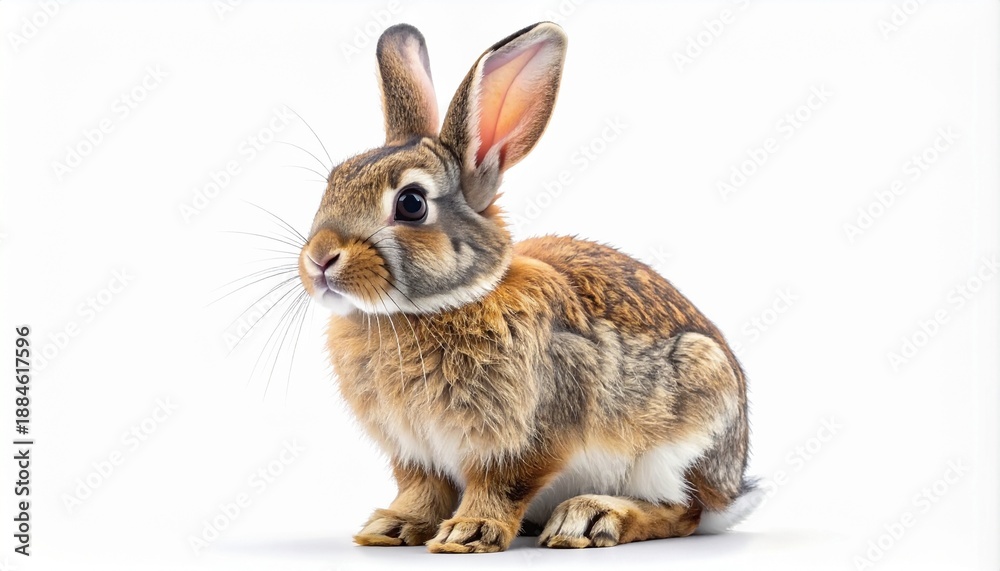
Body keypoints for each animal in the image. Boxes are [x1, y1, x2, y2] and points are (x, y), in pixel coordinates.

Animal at [296, 22, 760, 553]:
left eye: (411, 203)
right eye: (333, 181)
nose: (319, 259)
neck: (432, 307)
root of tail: (732, 488)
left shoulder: (528, 435)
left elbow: (503, 484)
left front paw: (467, 532)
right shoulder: (415, 452)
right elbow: (422, 490)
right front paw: (391, 526)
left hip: (683, 428)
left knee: (684, 510)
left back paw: (588, 517)